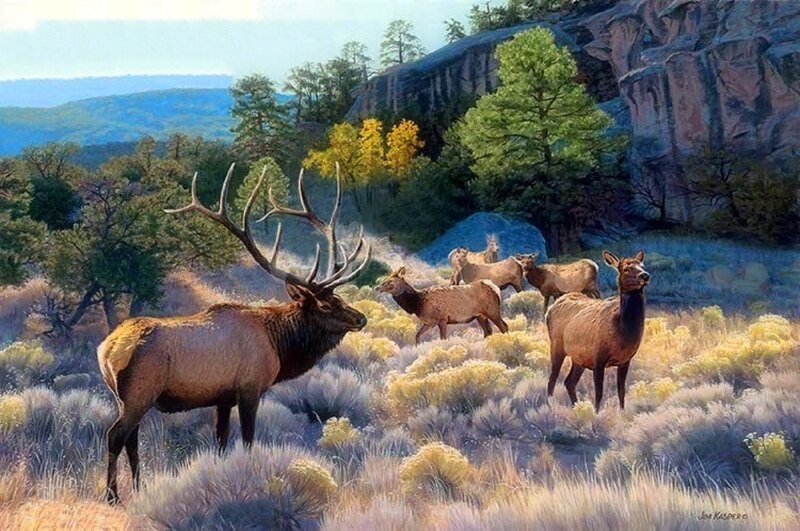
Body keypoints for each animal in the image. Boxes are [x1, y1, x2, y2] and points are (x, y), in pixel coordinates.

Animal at [97, 164, 371, 504]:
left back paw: (139, 488)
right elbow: (249, 440)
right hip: (139, 392)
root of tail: (106, 350)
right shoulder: (249, 388)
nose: (360, 318)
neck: (278, 345)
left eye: (340, 298)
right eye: (325, 304)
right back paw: (112, 496)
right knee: (115, 436)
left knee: (131, 439)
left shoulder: (223, 398)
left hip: (123, 397)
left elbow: (221, 444)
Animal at [375, 267, 508, 344]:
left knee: (503, 326)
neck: (418, 304)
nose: (377, 287)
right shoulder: (429, 323)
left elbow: (443, 339)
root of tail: (495, 288)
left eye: (390, 281)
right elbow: (417, 336)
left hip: (492, 310)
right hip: (480, 316)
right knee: (488, 331)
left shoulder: (442, 319)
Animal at [545, 250, 650, 412]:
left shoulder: (625, 360)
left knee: (569, 382)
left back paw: (577, 407)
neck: (622, 332)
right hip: (556, 345)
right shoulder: (598, 357)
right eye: (626, 269)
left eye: (643, 265)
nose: (645, 275)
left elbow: (621, 391)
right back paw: (552, 407)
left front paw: (621, 412)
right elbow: (599, 393)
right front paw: (596, 414)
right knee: (552, 380)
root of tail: (550, 309)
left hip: (579, 357)